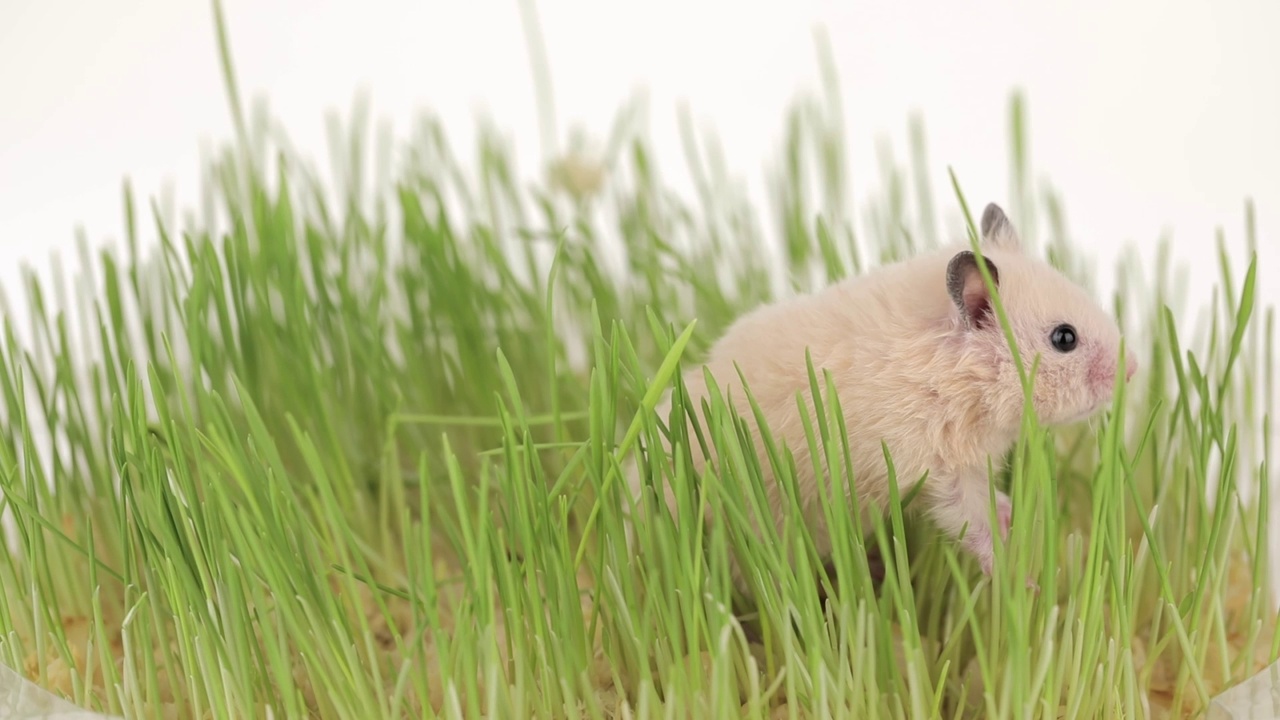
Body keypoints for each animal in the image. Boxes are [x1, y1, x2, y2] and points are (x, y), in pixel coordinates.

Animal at [624, 199, 1136, 589]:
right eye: (1064, 338)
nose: (1131, 370)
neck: (950, 374)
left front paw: (1011, 518)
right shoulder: (939, 471)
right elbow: (973, 523)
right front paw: (1020, 583)